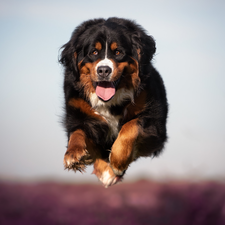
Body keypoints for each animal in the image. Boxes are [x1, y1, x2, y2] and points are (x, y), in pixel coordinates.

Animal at [59, 16, 168, 187]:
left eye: (118, 52)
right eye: (94, 52)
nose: (103, 70)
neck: (109, 101)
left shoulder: (154, 125)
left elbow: (131, 126)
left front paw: (117, 161)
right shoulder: (80, 114)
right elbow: (77, 132)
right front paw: (73, 155)